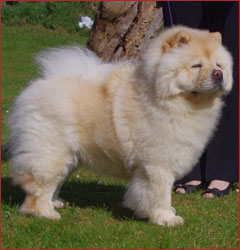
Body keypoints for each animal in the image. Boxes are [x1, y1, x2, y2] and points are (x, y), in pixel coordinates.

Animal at [9, 26, 232, 226]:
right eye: (196, 66)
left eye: (219, 65)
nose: (218, 74)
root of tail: (41, 84)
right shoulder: (157, 165)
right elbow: (160, 194)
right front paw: (166, 219)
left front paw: (165, 213)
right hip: (51, 152)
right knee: (40, 187)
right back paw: (45, 213)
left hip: (69, 157)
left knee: (56, 182)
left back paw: (56, 202)